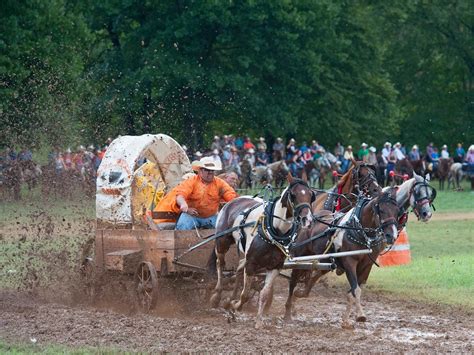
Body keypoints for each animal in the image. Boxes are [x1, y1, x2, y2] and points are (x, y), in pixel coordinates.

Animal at [208, 174, 314, 330]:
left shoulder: (275, 267)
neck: (275, 230)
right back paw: (216, 296)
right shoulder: (251, 263)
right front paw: (235, 306)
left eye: (311, 195)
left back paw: (229, 299)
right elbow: (245, 294)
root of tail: (233, 200)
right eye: (293, 195)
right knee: (220, 264)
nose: (308, 219)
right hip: (222, 242)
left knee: (238, 269)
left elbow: (264, 294)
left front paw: (258, 320)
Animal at [286, 188, 400, 330]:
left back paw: (300, 294)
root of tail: (307, 223)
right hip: (299, 257)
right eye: (382, 210)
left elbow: (353, 291)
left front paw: (346, 320)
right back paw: (288, 310)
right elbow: (356, 290)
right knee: (293, 281)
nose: (392, 236)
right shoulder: (349, 262)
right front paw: (360, 315)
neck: (357, 230)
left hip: (326, 261)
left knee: (313, 277)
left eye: (397, 211)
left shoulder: (367, 265)